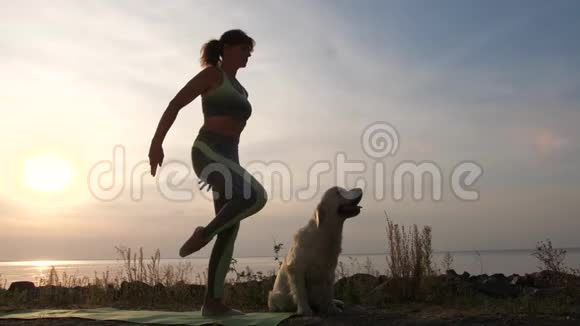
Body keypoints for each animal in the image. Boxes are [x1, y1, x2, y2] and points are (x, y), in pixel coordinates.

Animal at [268, 186, 362, 316]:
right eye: (338, 192)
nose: (360, 188)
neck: (323, 233)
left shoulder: (329, 271)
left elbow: (329, 292)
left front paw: (332, 309)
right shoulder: (296, 268)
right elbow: (301, 292)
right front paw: (305, 310)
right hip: (275, 297)